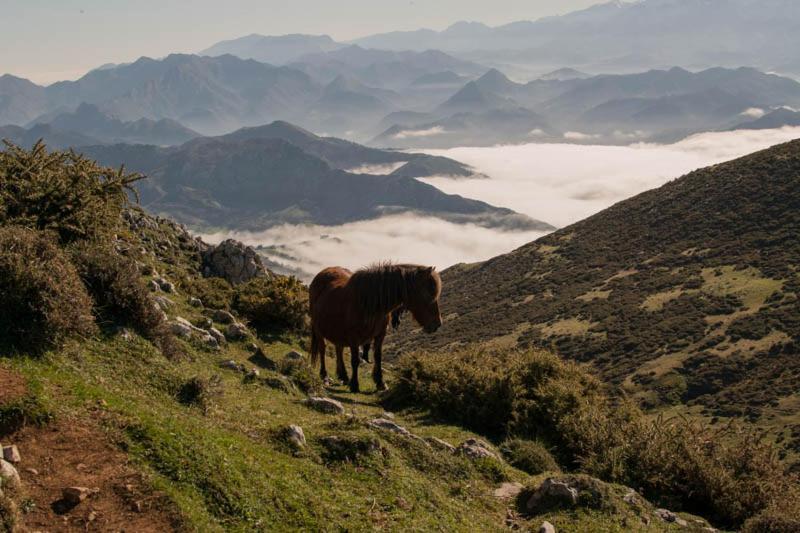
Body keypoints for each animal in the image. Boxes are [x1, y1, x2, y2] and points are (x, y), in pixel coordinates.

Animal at [310, 262, 444, 390]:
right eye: (429, 295)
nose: (437, 324)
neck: (370, 303)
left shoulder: (380, 335)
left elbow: (378, 357)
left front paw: (380, 383)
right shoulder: (354, 338)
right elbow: (355, 360)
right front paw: (355, 385)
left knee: (339, 349)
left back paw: (343, 376)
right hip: (318, 329)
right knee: (323, 349)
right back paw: (325, 376)